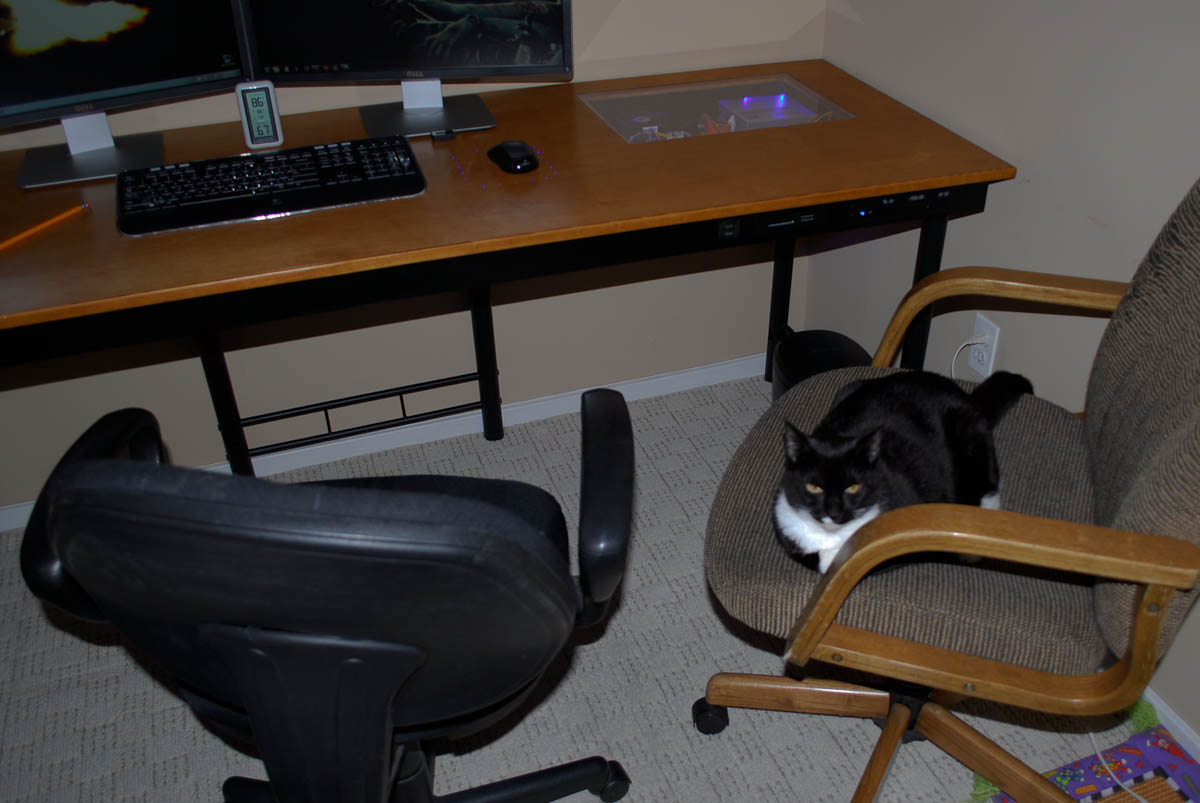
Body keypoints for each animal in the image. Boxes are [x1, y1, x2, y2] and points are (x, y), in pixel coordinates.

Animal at [777, 369, 1032, 568]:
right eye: (813, 487)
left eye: (853, 487)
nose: (834, 512)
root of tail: (964, 395)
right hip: (848, 388)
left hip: (972, 432)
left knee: (989, 486)